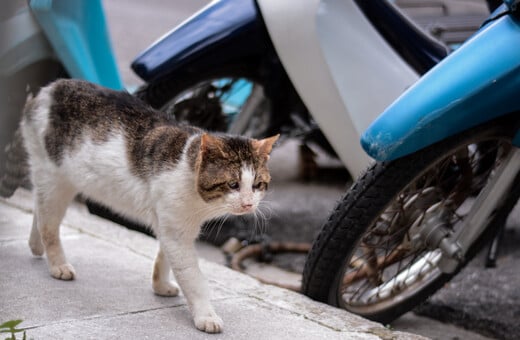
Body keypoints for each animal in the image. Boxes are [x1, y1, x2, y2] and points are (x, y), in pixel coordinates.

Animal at [22, 78, 278, 334]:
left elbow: (164, 257)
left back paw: (36, 245)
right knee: (48, 224)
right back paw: (58, 264)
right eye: (233, 184)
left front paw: (160, 285)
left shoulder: (171, 225)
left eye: (257, 185)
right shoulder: (177, 232)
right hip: (54, 178)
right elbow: (193, 278)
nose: (248, 203)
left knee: (39, 208)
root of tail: (50, 88)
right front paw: (206, 315)